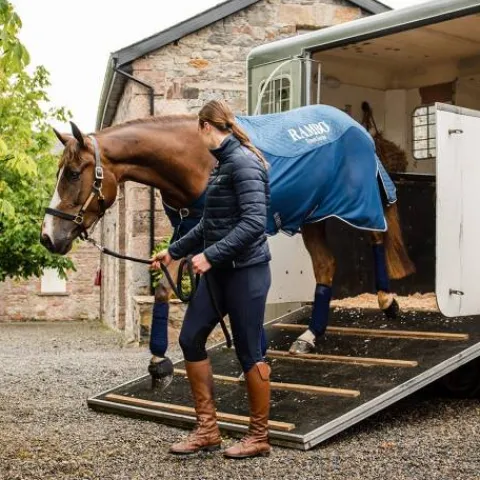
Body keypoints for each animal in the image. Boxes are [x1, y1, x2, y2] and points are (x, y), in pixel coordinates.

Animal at [40, 105, 415, 356]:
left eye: (72, 173)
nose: (48, 236)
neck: (196, 157)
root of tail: (356, 127)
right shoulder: (186, 231)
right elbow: (165, 286)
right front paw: (161, 359)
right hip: (313, 216)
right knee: (326, 266)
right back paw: (309, 336)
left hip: (358, 204)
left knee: (376, 237)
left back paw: (386, 300)